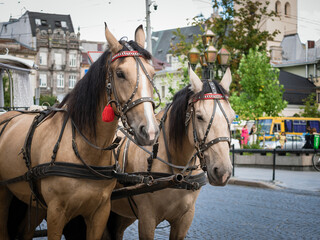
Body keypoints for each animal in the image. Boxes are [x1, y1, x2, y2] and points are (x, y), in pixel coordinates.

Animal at [0, 24, 159, 240]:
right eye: (120, 73)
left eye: (153, 73)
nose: (149, 130)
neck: (86, 149)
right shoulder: (56, 213)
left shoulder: (100, 212)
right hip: (5, 194)